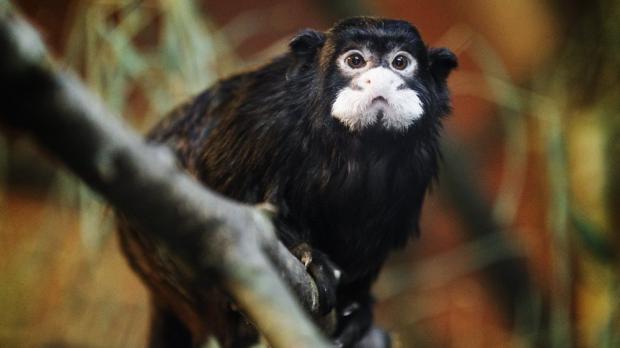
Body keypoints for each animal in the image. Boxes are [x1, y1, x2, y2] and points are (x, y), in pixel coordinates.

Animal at [116, 16, 458, 348]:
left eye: (400, 62)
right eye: (355, 60)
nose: (381, 80)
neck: (356, 145)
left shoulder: (417, 166)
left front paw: (356, 309)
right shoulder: (262, 120)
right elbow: (220, 202)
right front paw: (309, 257)